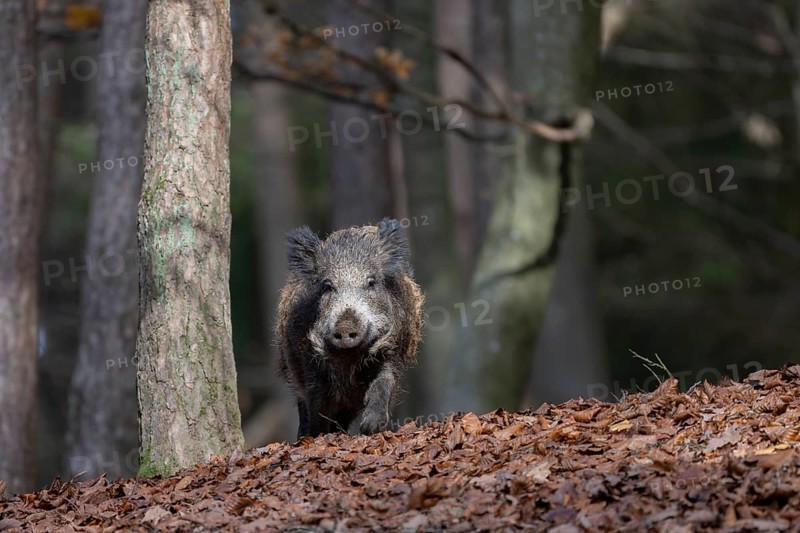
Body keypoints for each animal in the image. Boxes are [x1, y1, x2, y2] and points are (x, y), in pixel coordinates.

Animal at [276, 218, 424, 438]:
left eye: (371, 282)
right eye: (327, 285)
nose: (345, 327)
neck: (349, 358)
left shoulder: (394, 350)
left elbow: (383, 382)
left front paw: (370, 428)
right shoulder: (308, 361)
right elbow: (317, 406)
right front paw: (318, 436)